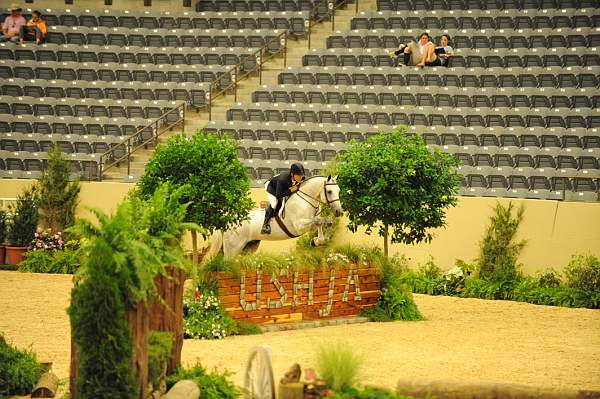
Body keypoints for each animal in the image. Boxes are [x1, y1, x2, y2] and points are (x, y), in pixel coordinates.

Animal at [207, 177, 342, 260]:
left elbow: (325, 221)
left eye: (339, 190)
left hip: (248, 247)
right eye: (329, 191)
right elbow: (319, 221)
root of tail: (227, 222)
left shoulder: (310, 224)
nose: (338, 211)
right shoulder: (299, 226)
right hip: (233, 248)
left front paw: (317, 241)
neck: (306, 200)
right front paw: (318, 240)